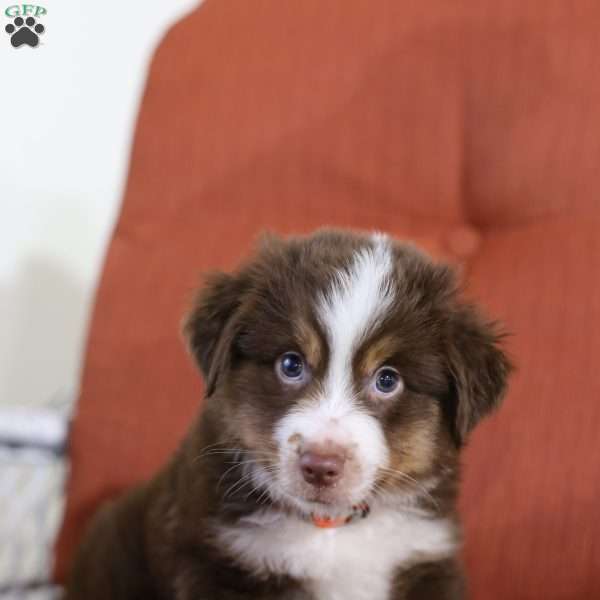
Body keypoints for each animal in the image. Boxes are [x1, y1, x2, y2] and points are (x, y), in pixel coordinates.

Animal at [69, 229, 510, 600]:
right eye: (291, 364)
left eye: (388, 379)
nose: (320, 466)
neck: (329, 528)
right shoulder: (220, 561)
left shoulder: (424, 557)